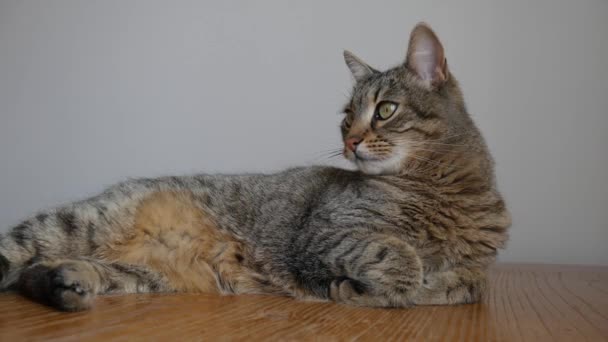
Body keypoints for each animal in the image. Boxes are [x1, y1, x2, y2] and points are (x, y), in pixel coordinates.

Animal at [0, 22, 508, 312]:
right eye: (346, 117)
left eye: (385, 110)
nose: (349, 140)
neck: (444, 192)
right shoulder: (326, 232)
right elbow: (396, 254)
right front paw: (383, 289)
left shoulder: (477, 267)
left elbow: (468, 284)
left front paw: (425, 285)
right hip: (70, 224)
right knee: (18, 258)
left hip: (140, 275)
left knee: (39, 274)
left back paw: (68, 284)